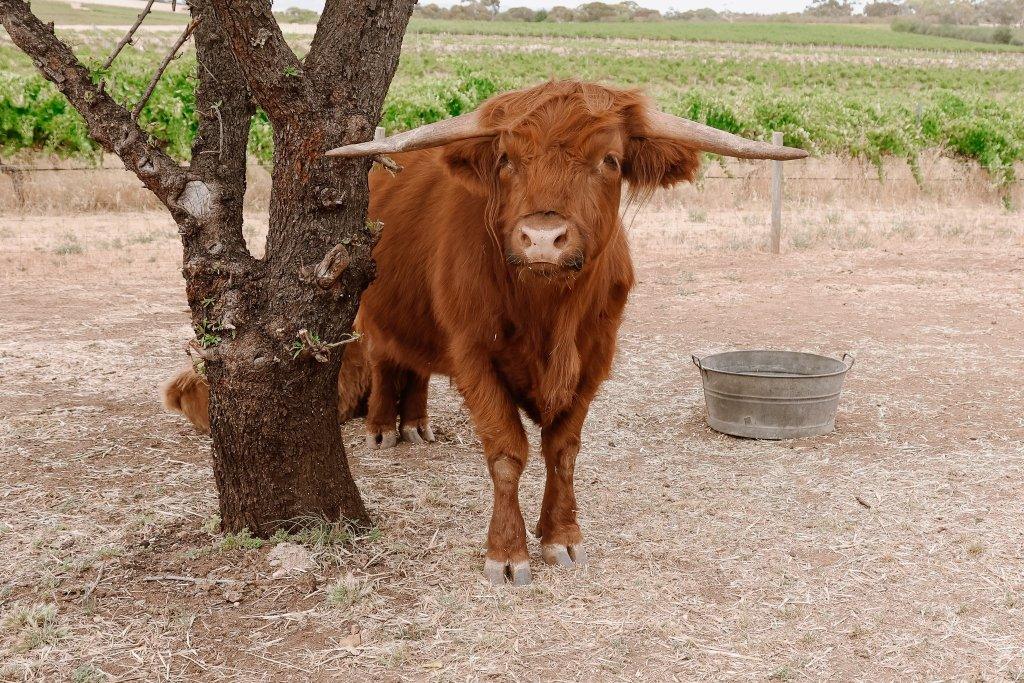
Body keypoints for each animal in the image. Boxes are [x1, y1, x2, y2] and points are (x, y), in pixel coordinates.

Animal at [163, 80, 807, 585]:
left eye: (610, 161)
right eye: (506, 160)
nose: (543, 238)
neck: (549, 313)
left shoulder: (595, 358)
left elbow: (563, 450)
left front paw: (561, 536)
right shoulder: (474, 356)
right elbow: (506, 453)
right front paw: (507, 553)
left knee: (417, 364)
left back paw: (417, 423)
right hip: (370, 306)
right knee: (387, 357)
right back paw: (383, 429)